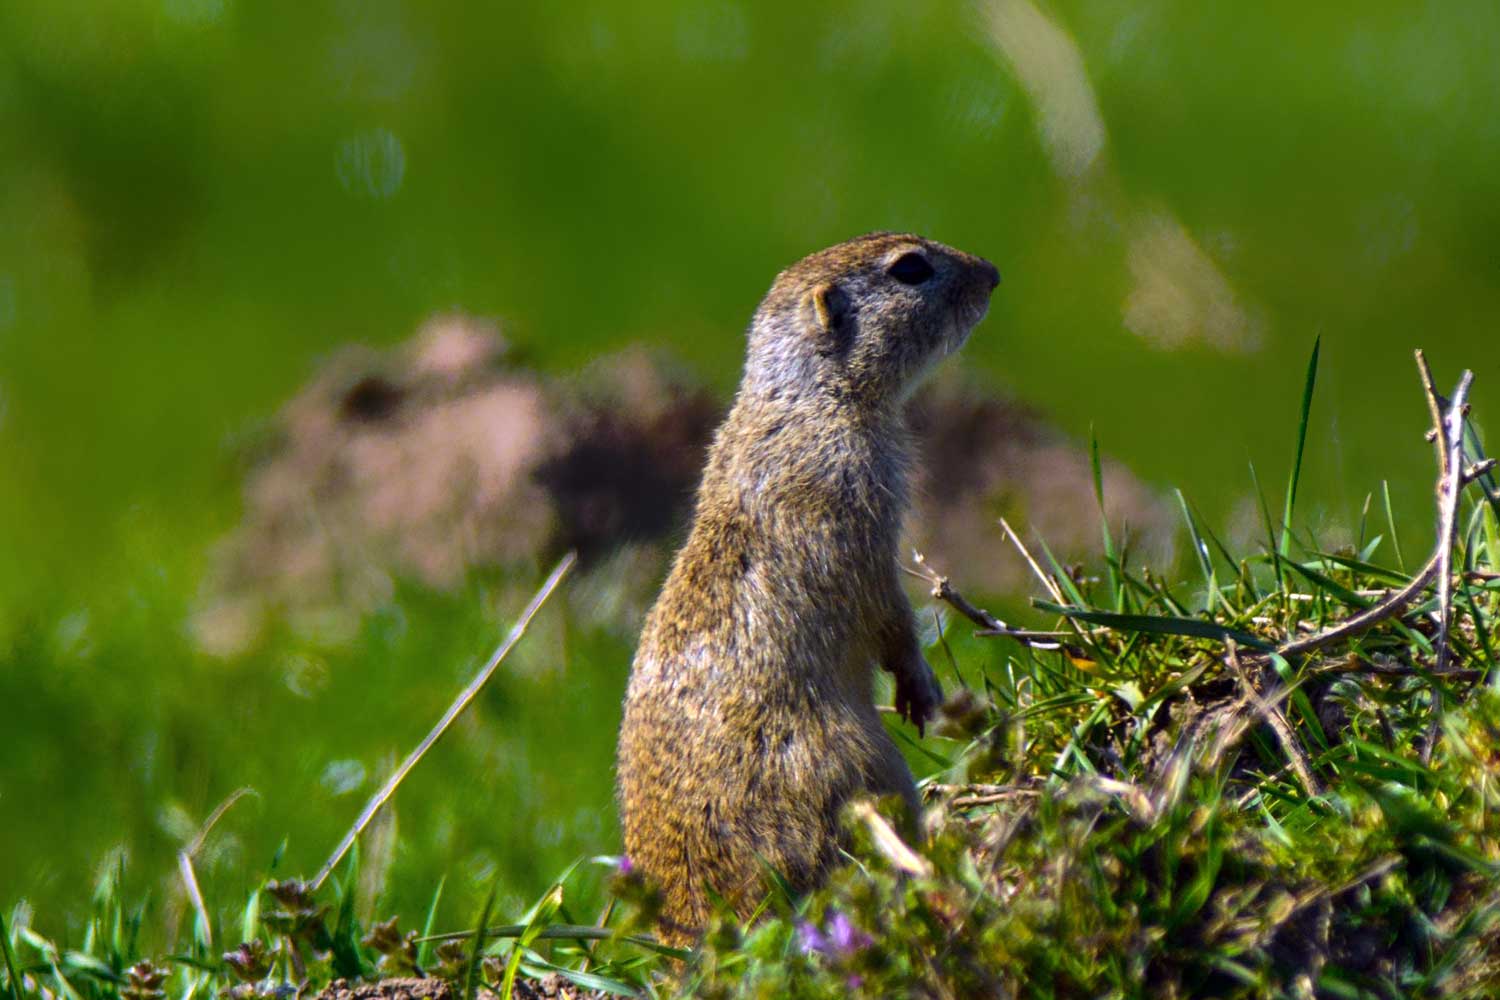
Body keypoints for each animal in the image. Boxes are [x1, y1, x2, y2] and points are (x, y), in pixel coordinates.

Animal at [615, 230, 1002, 941]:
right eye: (911, 268)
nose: (992, 274)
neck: (809, 397)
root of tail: (701, 932)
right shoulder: (860, 523)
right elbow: (892, 615)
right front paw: (923, 692)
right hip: (861, 763)